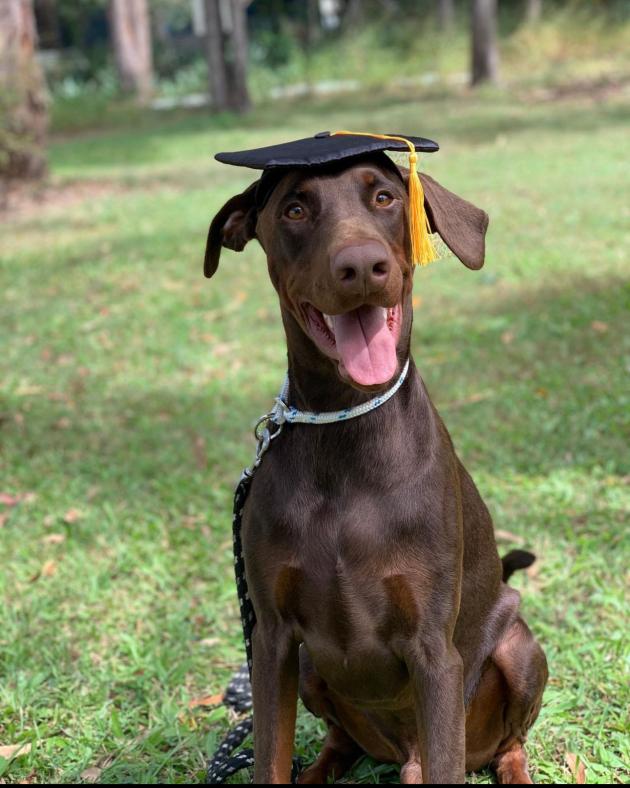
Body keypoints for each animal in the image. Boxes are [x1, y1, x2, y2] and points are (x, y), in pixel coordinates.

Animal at [206, 154, 548, 780]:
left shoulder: (434, 649)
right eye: (295, 208)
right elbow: (270, 757)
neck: (345, 427)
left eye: (385, 198)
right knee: (340, 742)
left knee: (506, 743)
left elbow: (447, 759)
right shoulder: (271, 639)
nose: (362, 266)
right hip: (312, 672)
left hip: (518, 649)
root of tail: (404, 755)